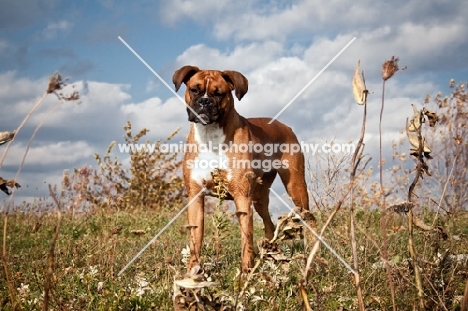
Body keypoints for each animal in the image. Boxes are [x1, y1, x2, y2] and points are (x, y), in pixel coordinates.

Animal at [174, 66, 316, 272]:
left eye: (219, 93)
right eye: (194, 90)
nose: (204, 101)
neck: (210, 135)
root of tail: (285, 126)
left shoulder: (241, 197)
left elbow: (245, 240)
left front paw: (245, 272)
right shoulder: (195, 197)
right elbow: (196, 240)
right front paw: (192, 273)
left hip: (296, 188)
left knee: (309, 219)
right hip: (259, 197)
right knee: (269, 224)